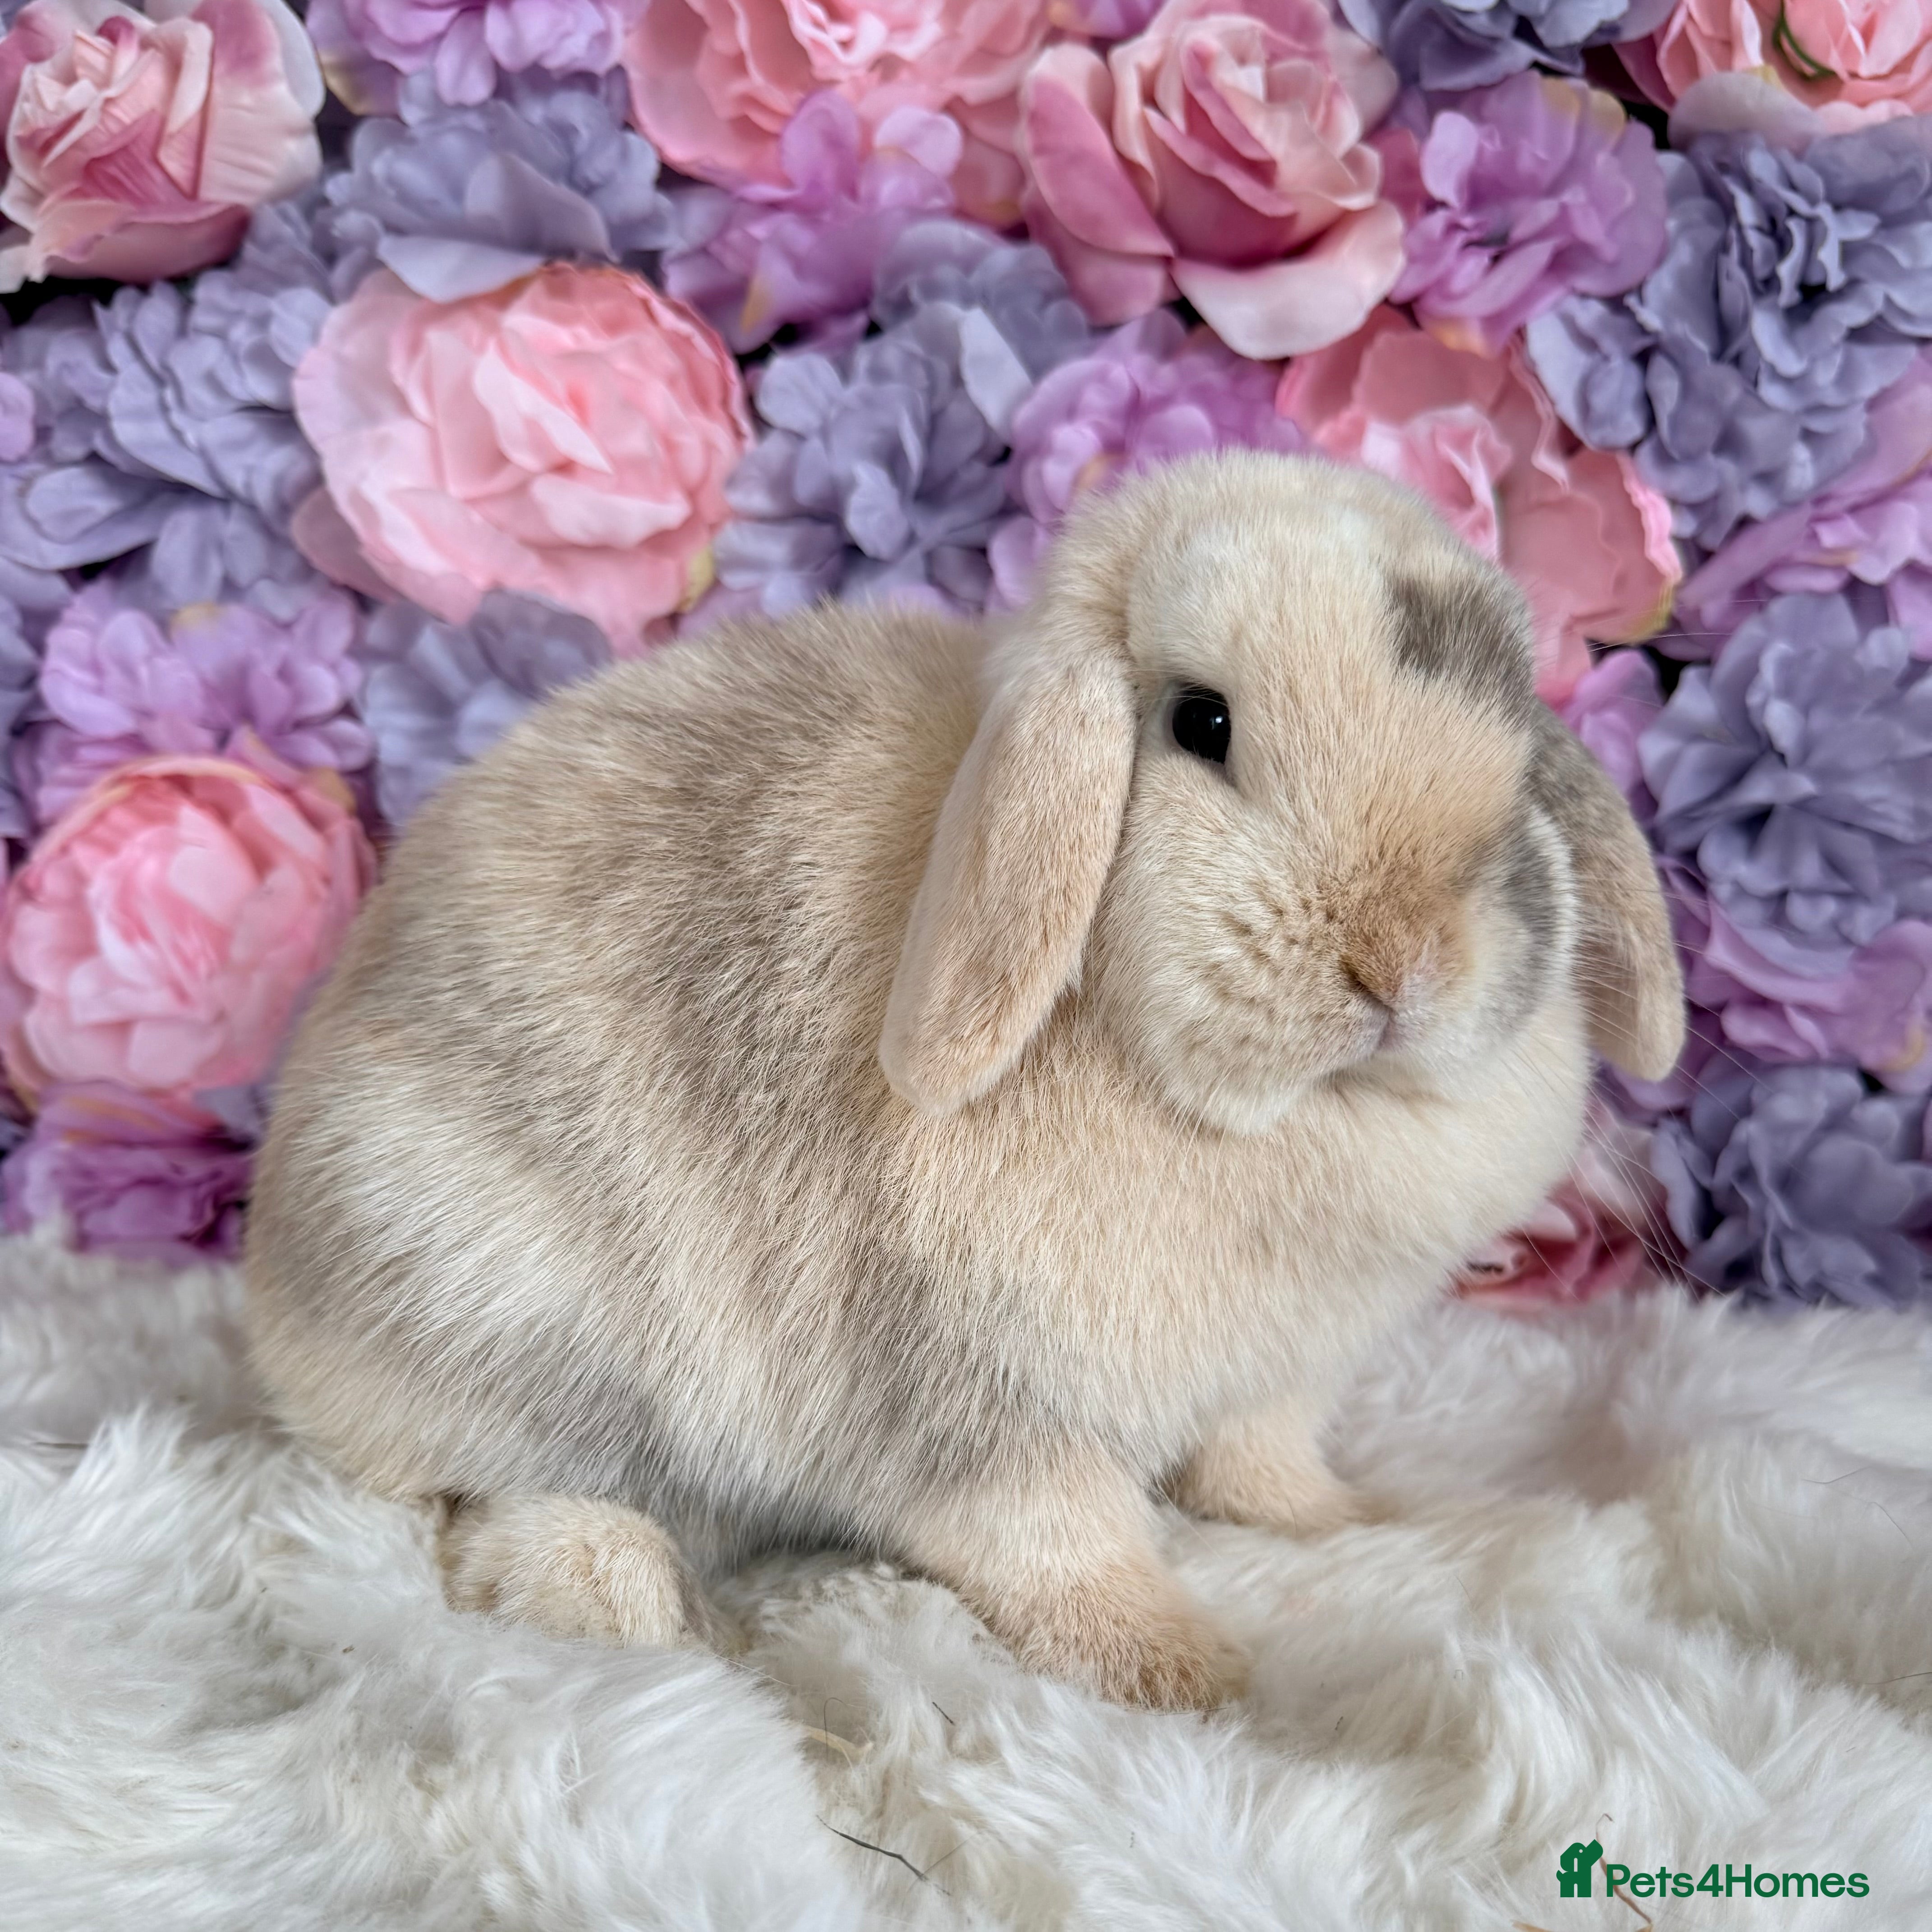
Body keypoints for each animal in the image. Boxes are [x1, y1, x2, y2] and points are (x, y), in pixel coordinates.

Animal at [244, 451, 1683, 1711]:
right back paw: (599, 1583)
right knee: (463, 1489)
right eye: (1199, 722)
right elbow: (1060, 1543)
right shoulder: (984, 1409)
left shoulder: (1276, 1376)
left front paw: (1343, 1518)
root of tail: (278, 1287)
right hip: (493, 1299)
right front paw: (1179, 1670)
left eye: (1518, 734)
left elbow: (1257, 1465)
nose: (1405, 963)